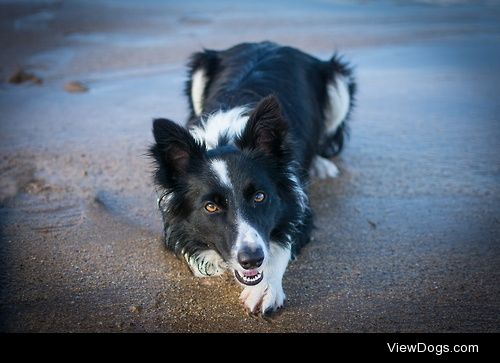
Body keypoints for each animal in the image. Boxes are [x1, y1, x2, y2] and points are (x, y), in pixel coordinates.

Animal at [149, 42, 356, 316]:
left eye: (259, 197)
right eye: (210, 207)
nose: (252, 260)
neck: (225, 139)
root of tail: (270, 43)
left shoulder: (299, 205)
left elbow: (282, 243)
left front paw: (265, 288)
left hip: (337, 79)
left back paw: (321, 164)